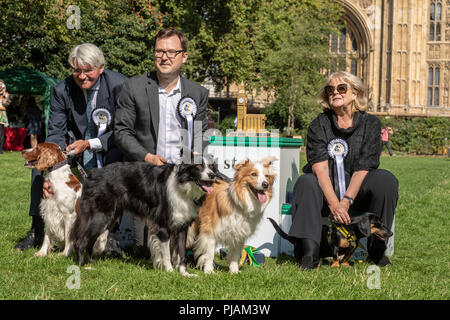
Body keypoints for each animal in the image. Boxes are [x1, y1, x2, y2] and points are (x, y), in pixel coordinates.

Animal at [71, 154, 217, 276]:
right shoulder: (163, 226)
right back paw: (83, 266)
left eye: (211, 166)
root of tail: (93, 173)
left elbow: (181, 252)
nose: (212, 175)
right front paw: (169, 271)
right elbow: (166, 253)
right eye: (198, 166)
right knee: (80, 241)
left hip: (109, 217)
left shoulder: (182, 227)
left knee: (90, 241)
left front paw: (184, 273)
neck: (183, 185)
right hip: (100, 216)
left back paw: (91, 262)